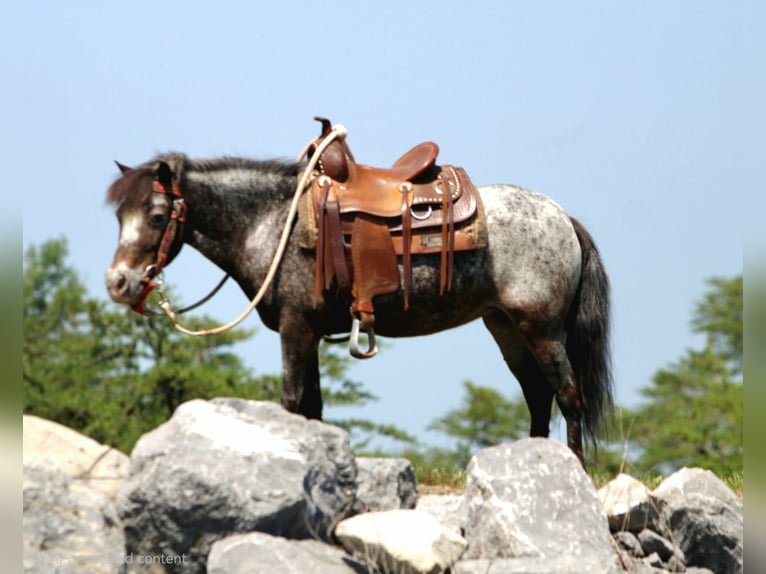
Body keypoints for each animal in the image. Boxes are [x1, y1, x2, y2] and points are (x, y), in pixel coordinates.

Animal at [104, 147, 613, 466]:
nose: (118, 283)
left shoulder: (296, 328)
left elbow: (292, 402)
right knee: (538, 395)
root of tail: (563, 218)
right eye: (119, 215)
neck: (273, 223)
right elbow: (313, 407)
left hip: (541, 328)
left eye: (156, 216)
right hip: (506, 327)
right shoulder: (307, 332)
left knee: (568, 395)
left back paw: (575, 470)